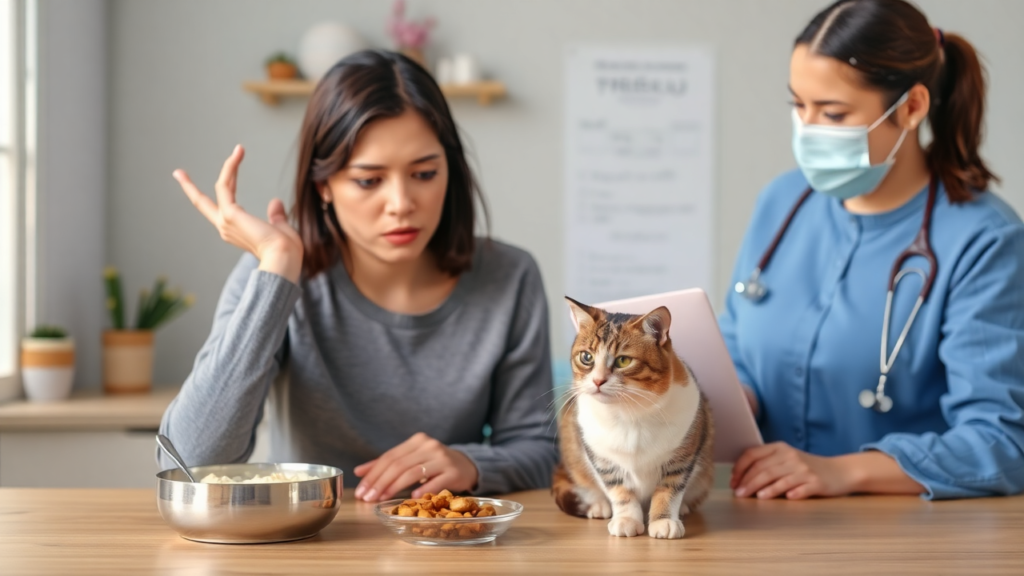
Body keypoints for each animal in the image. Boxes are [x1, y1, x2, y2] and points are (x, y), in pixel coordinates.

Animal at [552, 295, 712, 537]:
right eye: (586, 357)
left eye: (623, 361)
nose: (597, 380)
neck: (630, 412)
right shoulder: (603, 459)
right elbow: (619, 491)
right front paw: (626, 519)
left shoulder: (683, 455)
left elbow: (669, 489)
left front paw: (664, 520)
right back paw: (597, 505)